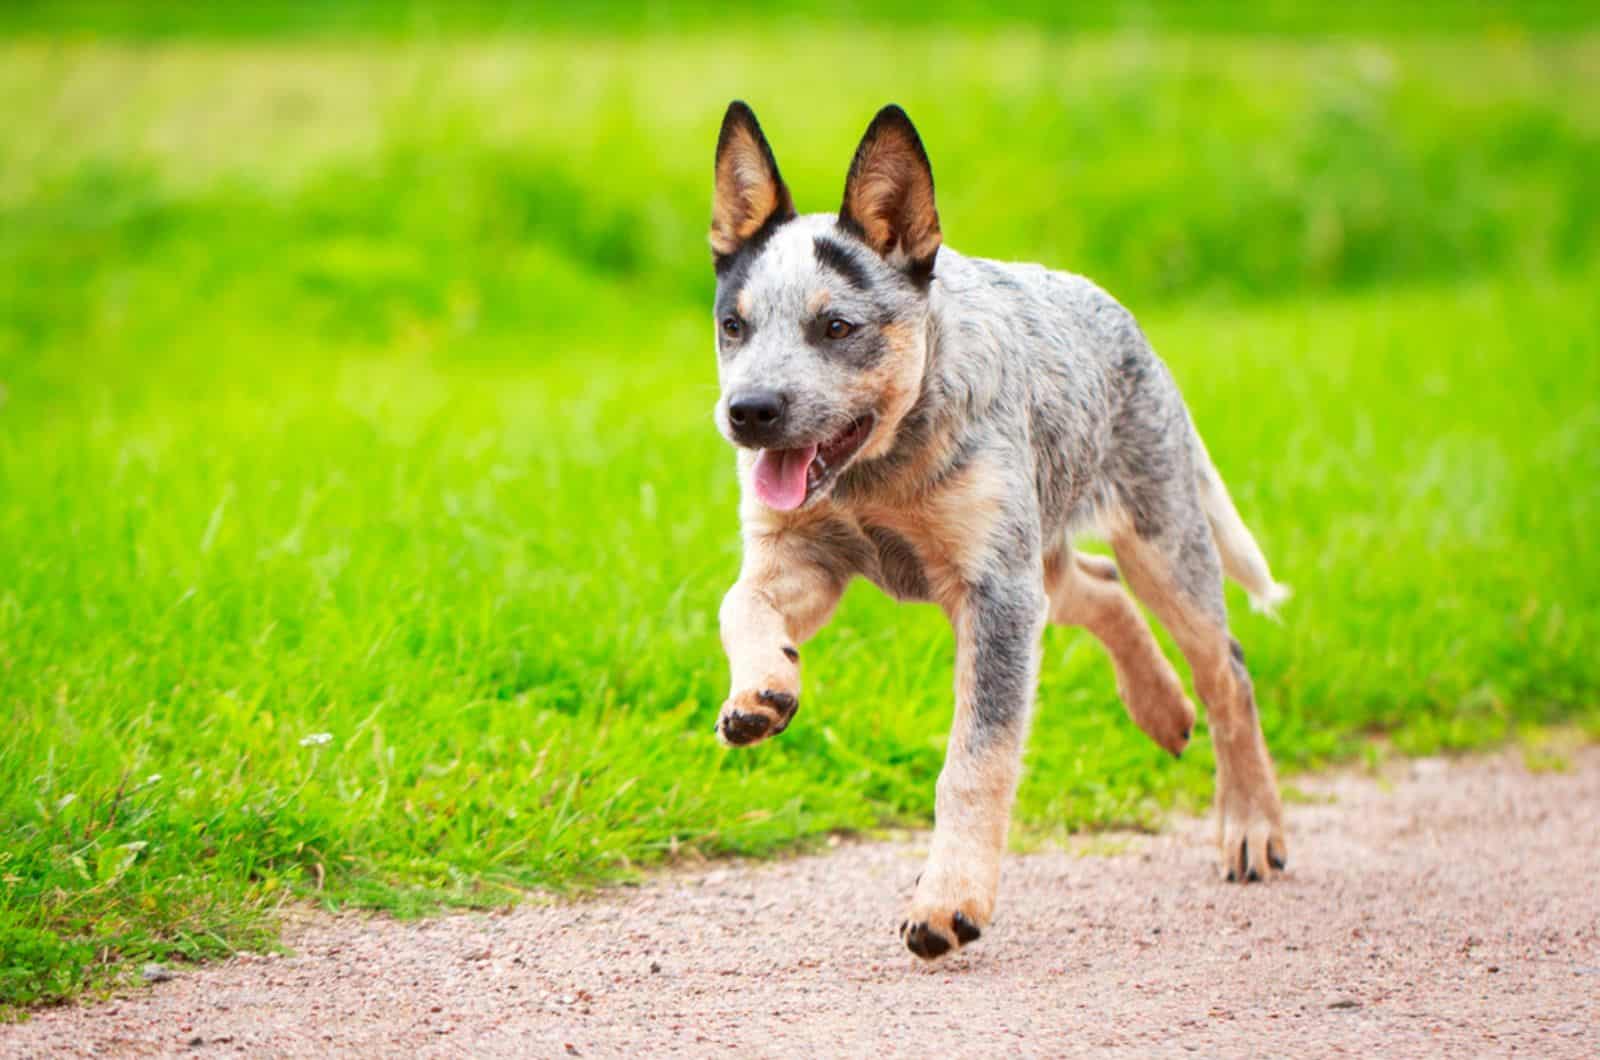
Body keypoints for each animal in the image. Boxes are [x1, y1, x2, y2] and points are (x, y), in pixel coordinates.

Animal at [707, 101, 1292, 960]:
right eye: (733, 325)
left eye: (837, 327)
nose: (747, 412)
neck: (881, 471)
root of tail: (1124, 319)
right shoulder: (808, 555)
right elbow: (739, 602)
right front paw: (762, 689)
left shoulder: (995, 597)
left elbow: (976, 760)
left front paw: (948, 902)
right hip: (1042, 555)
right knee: (1099, 591)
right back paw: (1160, 707)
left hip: (1158, 538)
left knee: (1227, 669)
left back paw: (1251, 826)